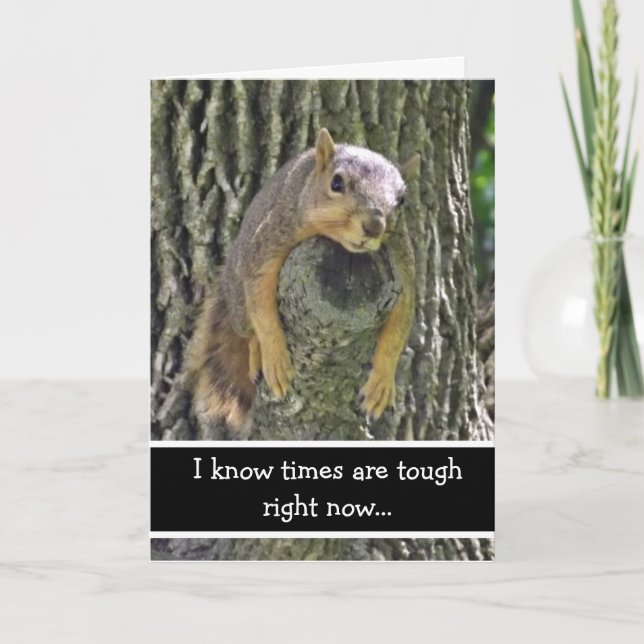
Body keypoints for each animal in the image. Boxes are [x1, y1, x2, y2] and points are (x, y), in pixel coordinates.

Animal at [188, 128, 420, 430]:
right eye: (336, 183)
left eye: (402, 200)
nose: (374, 226)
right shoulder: (271, 240)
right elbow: (261, 305)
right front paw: (274, 356)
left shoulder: (402, 266)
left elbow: (398, 329)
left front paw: (382, 382)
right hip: (238, 299)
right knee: (248, 328)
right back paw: (256, 352)